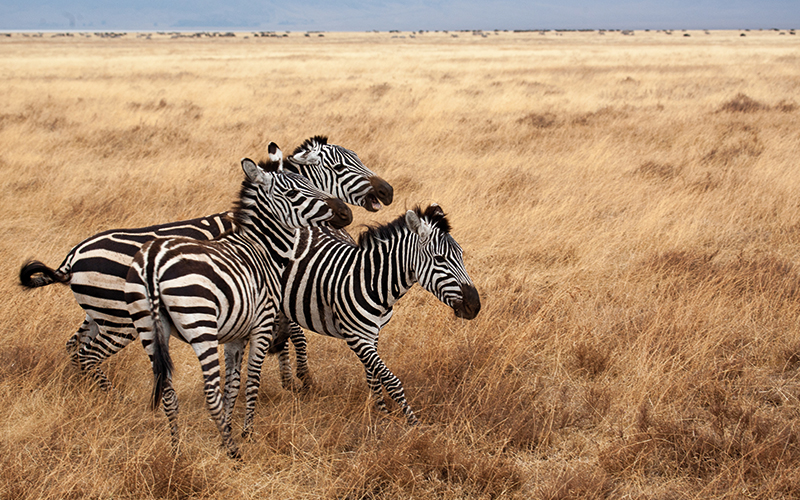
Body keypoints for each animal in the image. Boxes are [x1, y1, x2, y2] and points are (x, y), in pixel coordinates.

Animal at [18, 137, 394, 390]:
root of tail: (73, 256)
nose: (388, 192)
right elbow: (296, 335)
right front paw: (301, 380)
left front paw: (286, 379)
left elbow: (283, 335)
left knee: (74, 346)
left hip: (101, 314)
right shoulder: (289, 284)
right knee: (85, 352)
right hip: (117, 320)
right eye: (340, 167)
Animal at [125, 147, 350, 458]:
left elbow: (232, 384)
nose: (346, 213)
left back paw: (177, 449)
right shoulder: (262, 325)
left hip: (147, 327)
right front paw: (245, 433)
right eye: (293, 193)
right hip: (200, 323)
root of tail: (152, 258)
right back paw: (234, 453)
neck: (264, 250)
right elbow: (251, 380)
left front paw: (226, 431)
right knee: (210, 393)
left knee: (168, 391)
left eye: (310, 183)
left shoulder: (235, 335)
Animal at [228, 203, 484, 426]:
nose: (475, 306)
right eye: (439, 259)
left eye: (461, 254)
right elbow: (391, 380)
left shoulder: (373, 334)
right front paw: (412, 422)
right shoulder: (356, 337)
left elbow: (373, 376)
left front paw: (381, 411)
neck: (372, 280)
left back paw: (290, 379)